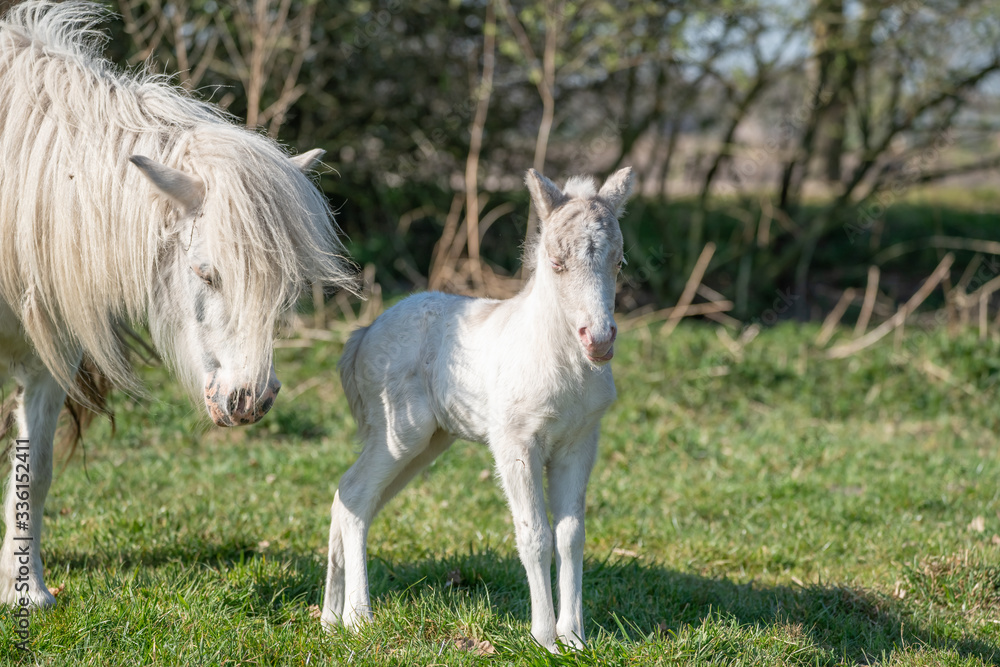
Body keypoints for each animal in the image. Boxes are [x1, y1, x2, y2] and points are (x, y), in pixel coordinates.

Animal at [0, 0, 356, 604]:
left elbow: (35, 471)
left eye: (284, 288)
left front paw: (27, 592)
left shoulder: (49, 359)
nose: (250, 400)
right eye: (204, 272)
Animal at [320, 167, 632, 652]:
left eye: (619, 263)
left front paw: (575, 639)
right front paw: (544, 639)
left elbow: (570, 537)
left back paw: (330, 619)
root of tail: (363, 333)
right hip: (400, 433)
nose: (598, 340)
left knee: (352, 497)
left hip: (426, 443)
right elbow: (535, 535)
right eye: (557, 262)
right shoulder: (515, 442)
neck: (556, 358)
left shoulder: (578, 443)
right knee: (353, 494)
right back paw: (358, 618)